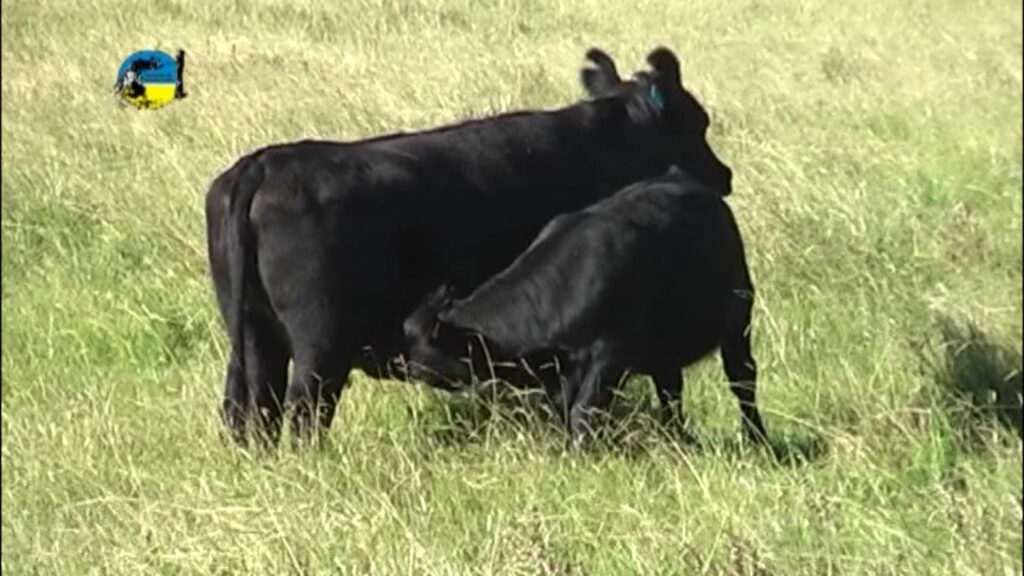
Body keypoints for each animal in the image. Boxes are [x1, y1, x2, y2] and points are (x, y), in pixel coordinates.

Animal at [402, 167, 767, 447]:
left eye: (423, 364)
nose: (407, 369)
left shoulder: (611, 354)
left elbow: (584, 411)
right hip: (665, 350)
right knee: (671, 391)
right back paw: (677, 440)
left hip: (738, 318)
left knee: (742, 379)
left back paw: (756, 439)